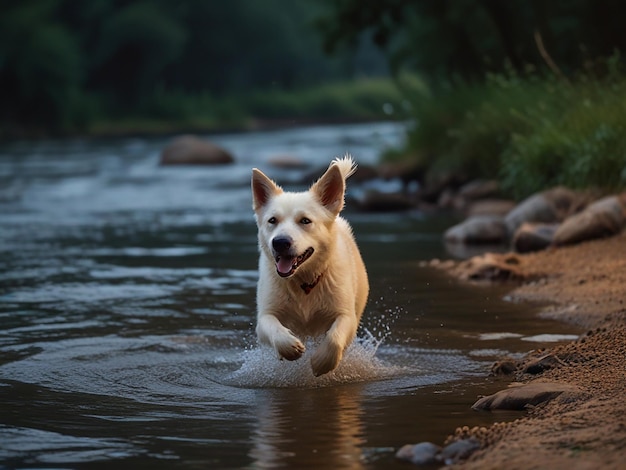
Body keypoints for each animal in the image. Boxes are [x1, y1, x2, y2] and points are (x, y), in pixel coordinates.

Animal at [249, 156, 366, 376]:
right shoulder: (264, 317)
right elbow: (273, 326)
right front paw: (289, 347)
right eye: (272, 220)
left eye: (305, 221)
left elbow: (335, 337)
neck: (302, 280)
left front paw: (322, 362)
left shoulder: (346, 316)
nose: (280, 242)